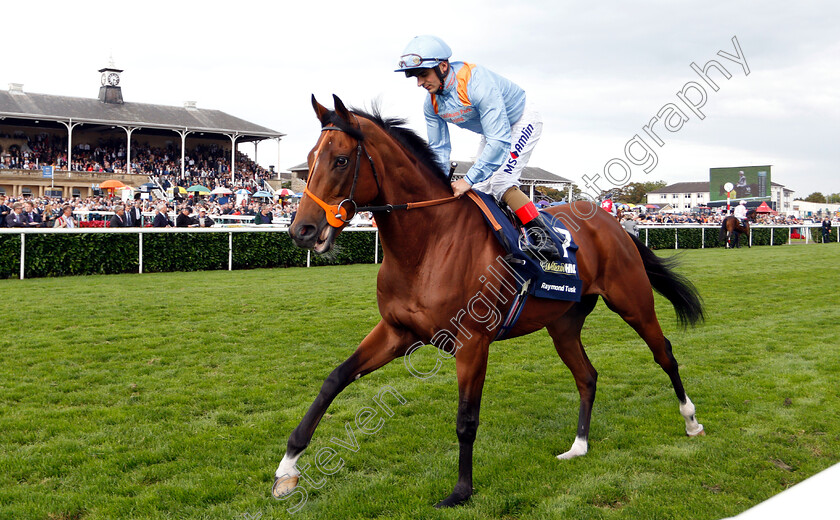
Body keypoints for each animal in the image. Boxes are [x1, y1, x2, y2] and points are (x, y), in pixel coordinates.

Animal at [274, 94, 704, 508]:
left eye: (341, 160)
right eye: (309, 160)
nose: (302, 230)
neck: (428, 244)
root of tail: (613, 222)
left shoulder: (472, 342)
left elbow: (466, 418)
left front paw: (461, 491)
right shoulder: (397, 331)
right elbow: (335, 379)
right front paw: (287, 469)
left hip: (633, 302)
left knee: (664, 353)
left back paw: (690, 420)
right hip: (563, 324)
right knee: (587, 376)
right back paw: (578, 447)